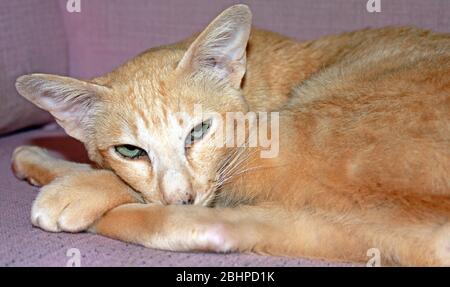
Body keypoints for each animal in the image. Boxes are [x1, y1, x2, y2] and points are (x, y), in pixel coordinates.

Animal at [10, 3, 450, 268]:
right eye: (130, 151)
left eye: (199, 130)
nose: (182, 197)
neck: (255, 72)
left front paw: (74, 185)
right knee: (211, 228)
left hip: (290, 135)